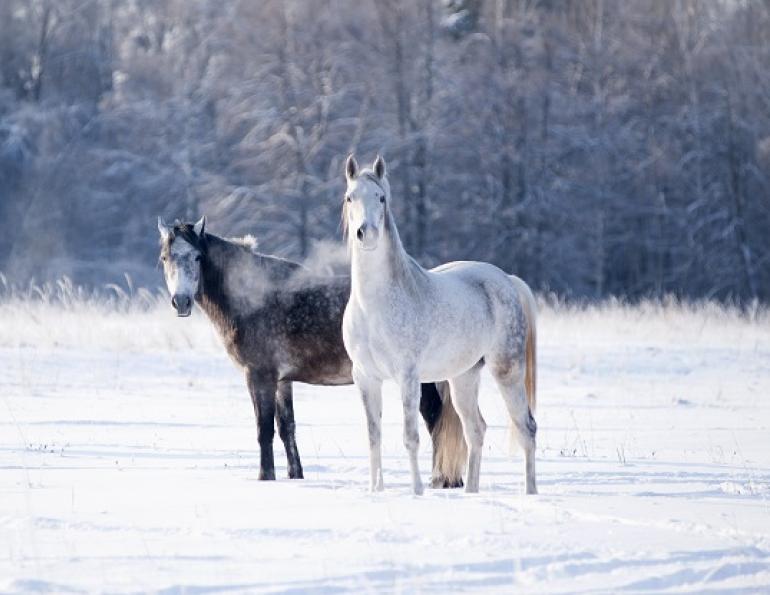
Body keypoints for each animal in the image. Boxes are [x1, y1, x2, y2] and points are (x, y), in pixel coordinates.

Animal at [157, 216, 469, 485]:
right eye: (165, 258)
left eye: (198, 257)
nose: (181, 301)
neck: (251, 296)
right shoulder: (282, 381)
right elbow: (287, 428)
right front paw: (296, 476)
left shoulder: (259, 376)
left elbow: (264, 430)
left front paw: (265, 477)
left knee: (433, 419)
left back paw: (441, 479)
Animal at [341, 155, 538, 495]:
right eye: (350, 197)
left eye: (381, 198)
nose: (366, 233)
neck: (373, 306)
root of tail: (507, 280)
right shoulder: (366, 377)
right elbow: (373, 437)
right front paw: (376, 490)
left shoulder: (408, 377)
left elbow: (410, 437)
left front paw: (417, 491)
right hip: (464, 378)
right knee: (476, 430)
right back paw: (471, 493)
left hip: (507, 371)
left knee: (526, 428)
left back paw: (531, 494)